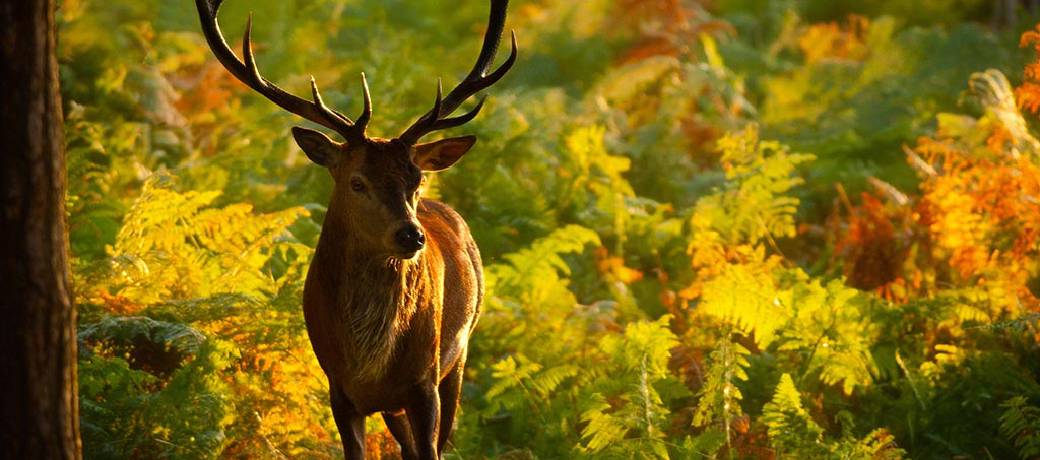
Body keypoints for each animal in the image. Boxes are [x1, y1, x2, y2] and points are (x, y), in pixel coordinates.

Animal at [194, 0, 516, 458]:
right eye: (356, 182)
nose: (411, 236)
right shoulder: (339, 391)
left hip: (459, 355)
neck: (369, 366)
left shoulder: (425, 383)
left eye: (417, 179)